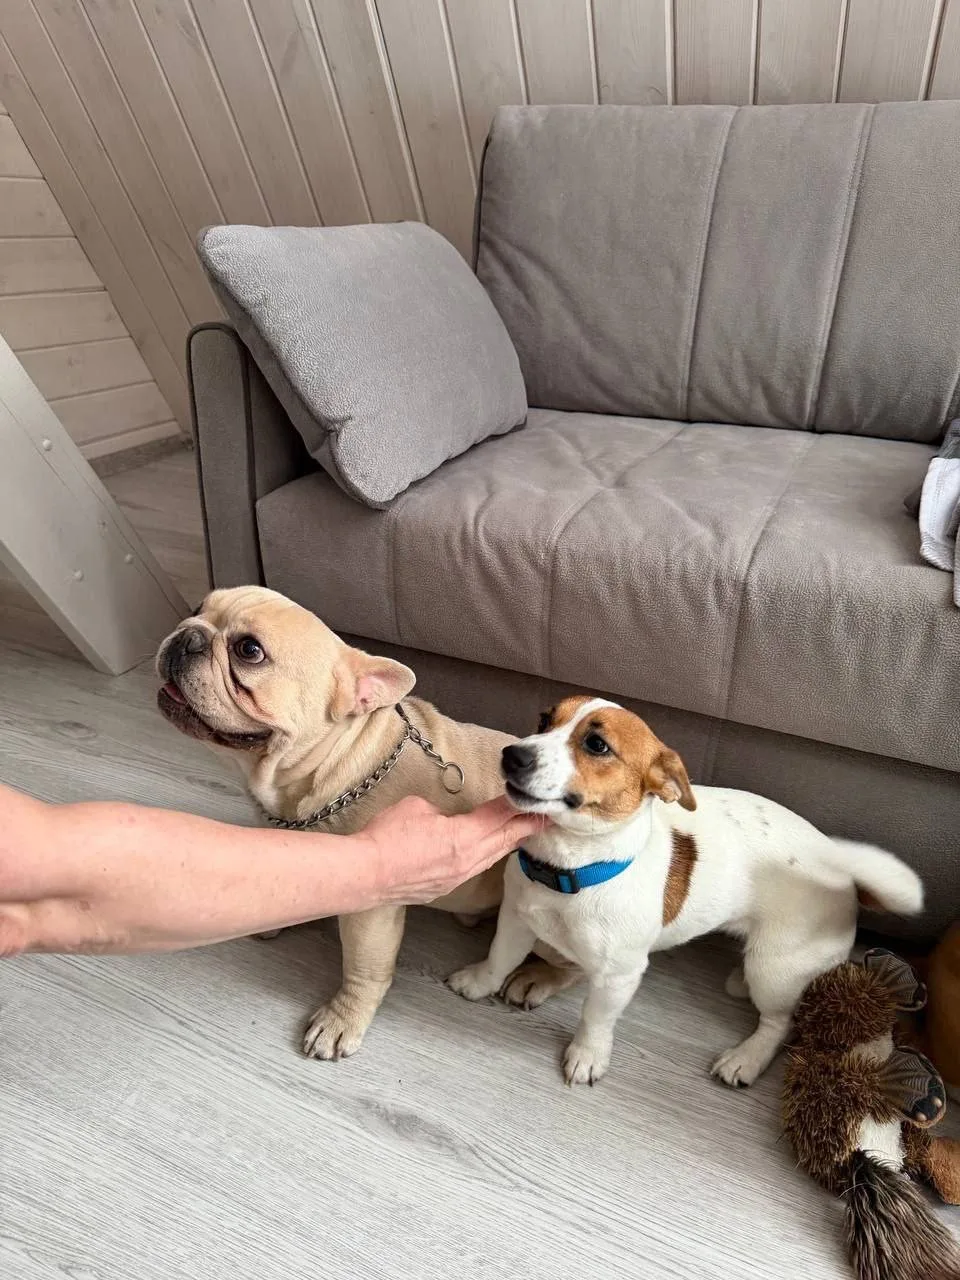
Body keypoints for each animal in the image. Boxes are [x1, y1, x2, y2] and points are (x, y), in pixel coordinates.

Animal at [155, 585, 571, 1059]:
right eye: (196, 609)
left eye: (249, 651)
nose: (188, 634)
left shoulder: (373, 908)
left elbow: (364, 968)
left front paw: (342, 1020)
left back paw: (537, 978)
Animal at [448, 696, 924, 1087]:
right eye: (544, 720)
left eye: (597, 745)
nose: (512, 754)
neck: (569, 869)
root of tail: (839, 866)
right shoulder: (515, 920)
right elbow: (498, 958)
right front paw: (478, 982)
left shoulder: (620, 974)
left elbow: (596, 1019)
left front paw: (588, 1056)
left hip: (774, 968)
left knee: (779, 1022)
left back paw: (746, 1058)